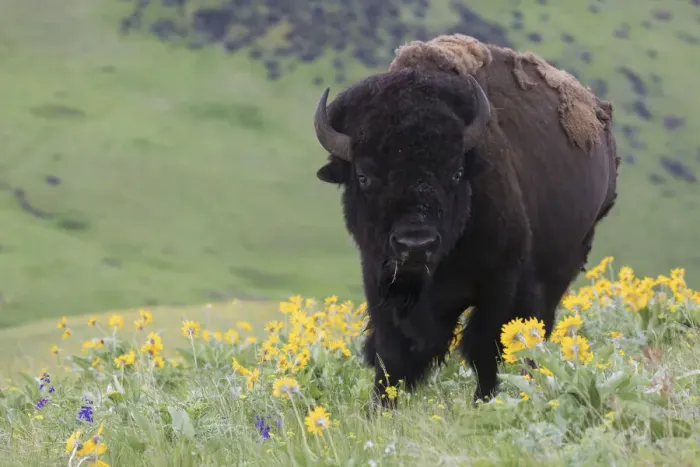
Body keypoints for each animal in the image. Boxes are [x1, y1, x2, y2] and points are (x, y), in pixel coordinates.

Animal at [312, 34, 619, 406]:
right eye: (364, 176)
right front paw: (381, 407)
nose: (416, 244)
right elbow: (391, 353)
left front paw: (486, 403)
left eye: (457, 172)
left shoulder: (501, 285)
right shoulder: (380, 281)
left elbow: (488, 348)